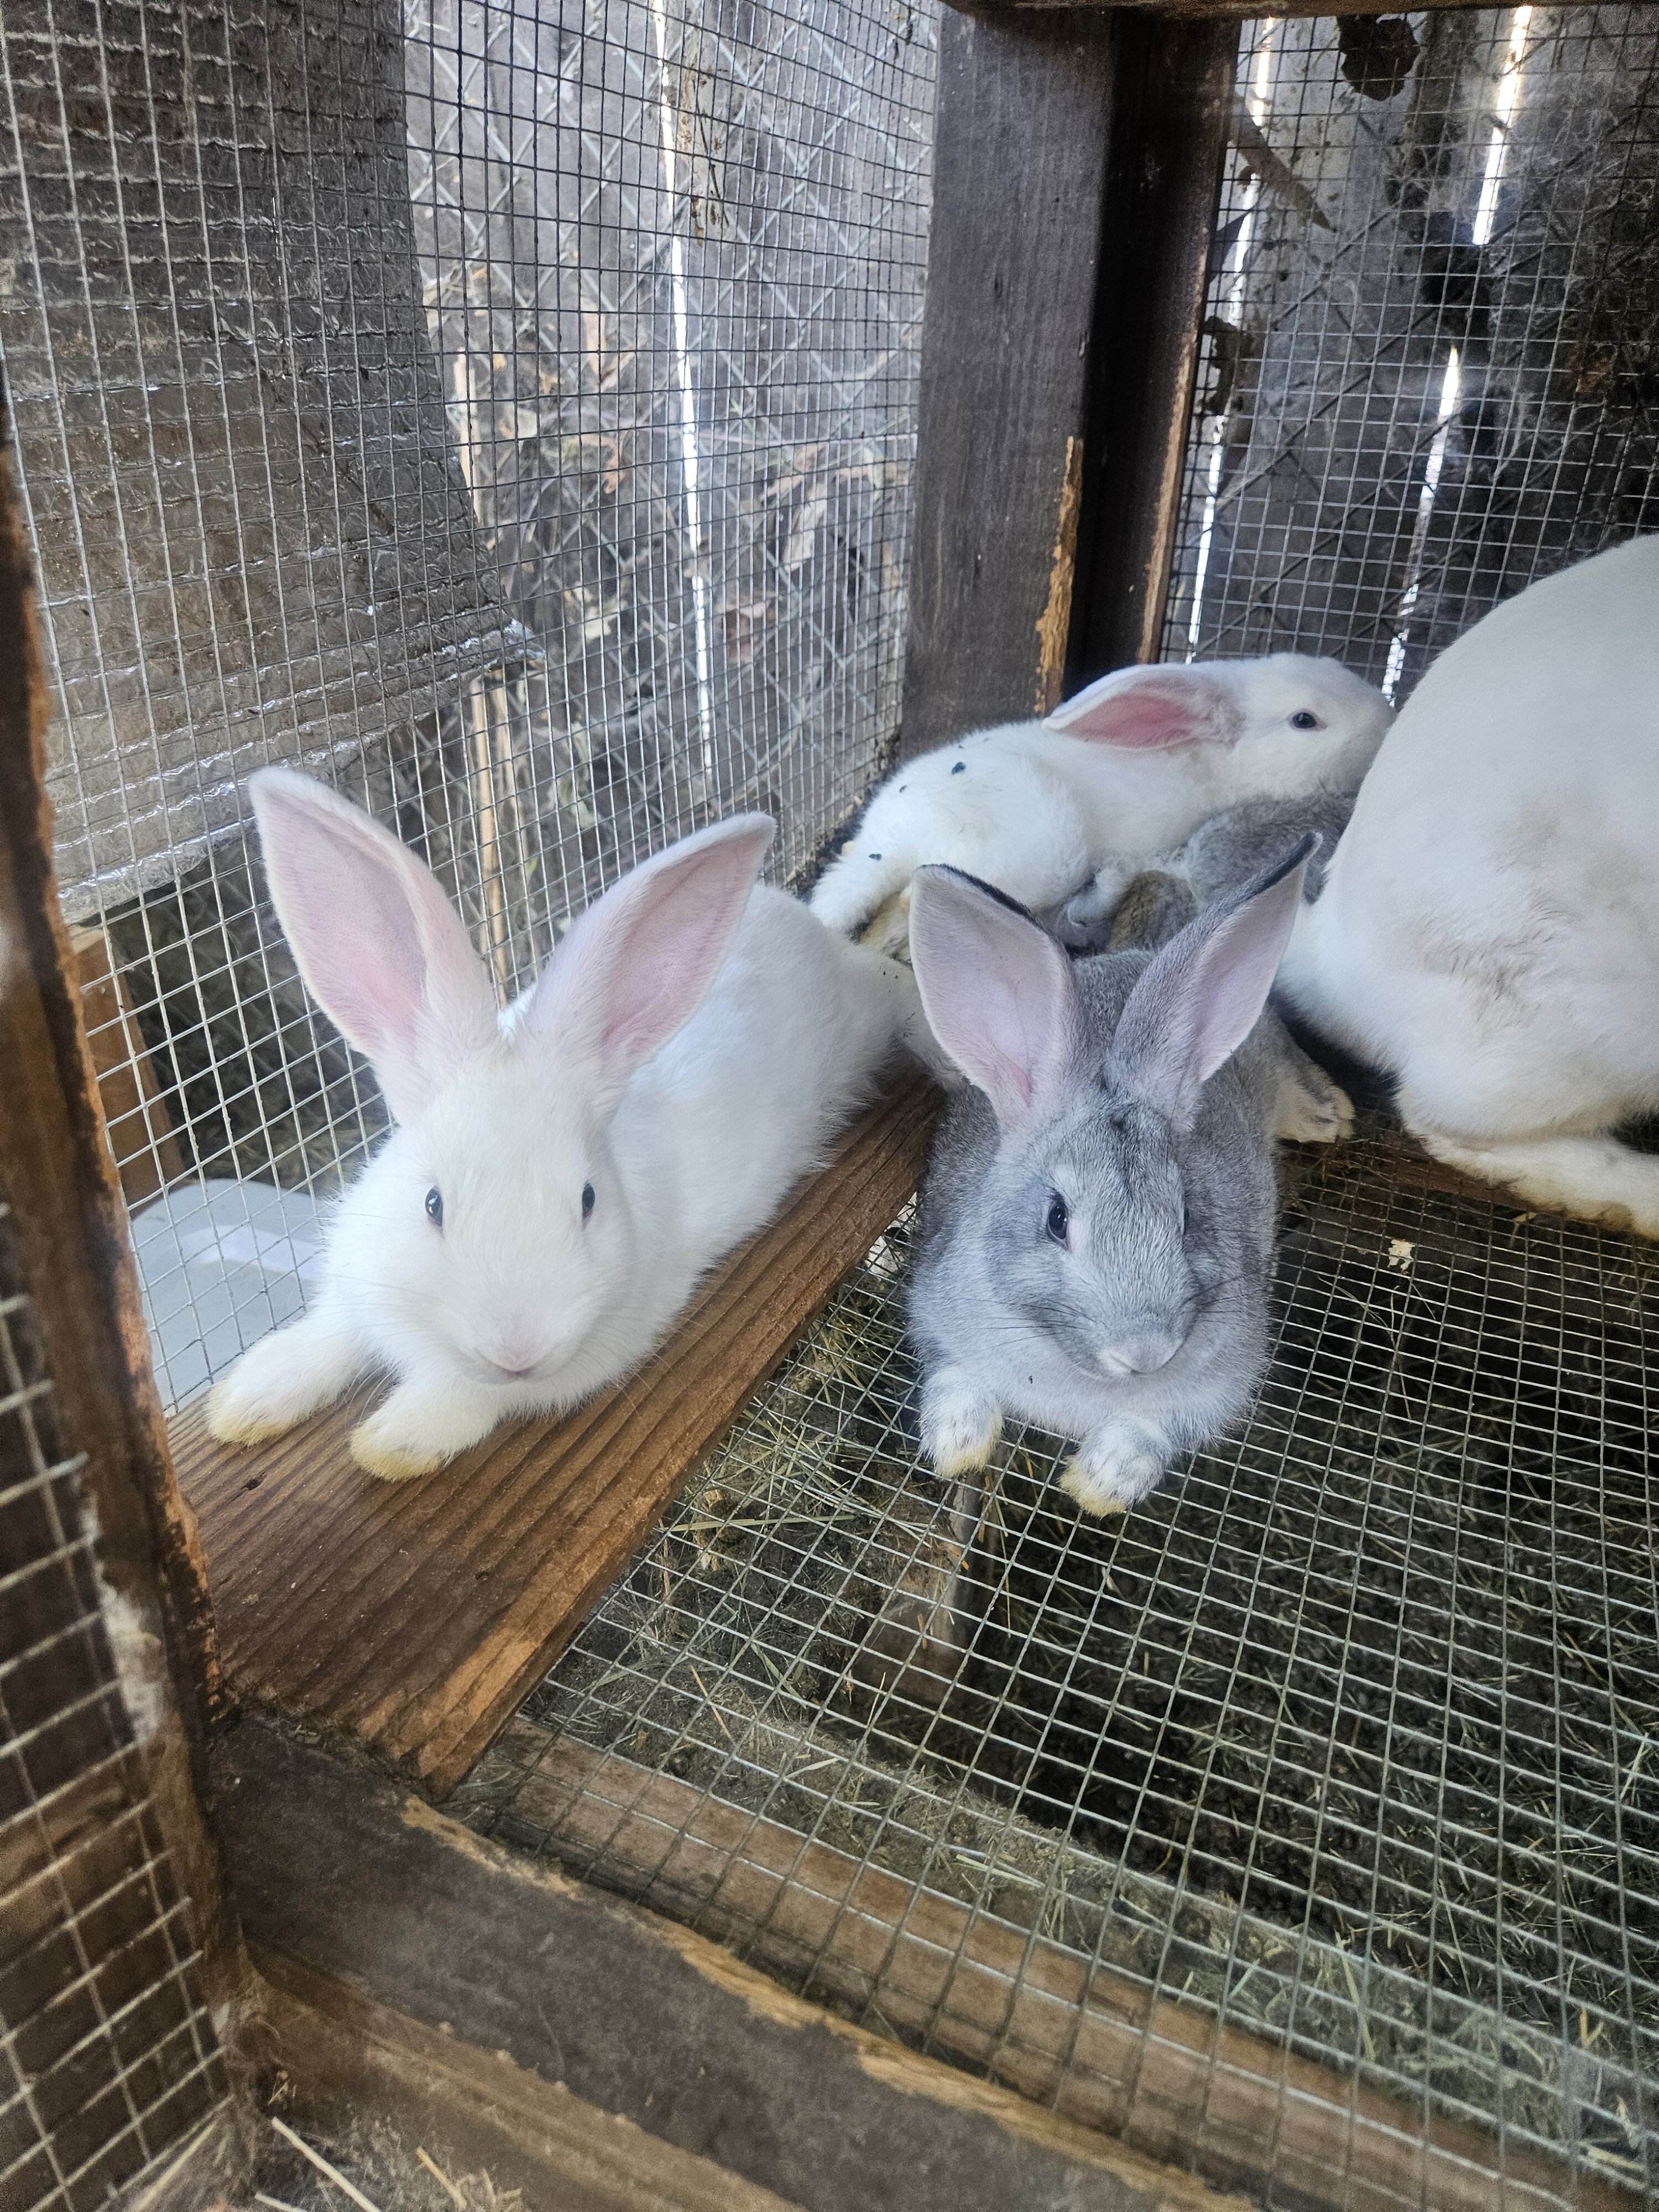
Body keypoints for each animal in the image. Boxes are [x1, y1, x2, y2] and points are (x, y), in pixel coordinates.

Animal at [205, 770, 925, 1477]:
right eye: (433, 1204)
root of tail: (798, 919)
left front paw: (392, 1444)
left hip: (869, 1013)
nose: (516, 1349)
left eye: (587, 1200)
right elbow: (329, 1335)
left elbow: (464, 1394)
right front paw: (246, 1401)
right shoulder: (357, 1280)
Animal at [808, 655, 1391, 956]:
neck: (1214, 763)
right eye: (1305, 720)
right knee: (914, 898)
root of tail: (891, 844)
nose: (1385, 721)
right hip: (1044, 856)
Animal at [905, 839, 1319, 1519]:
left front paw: (1097, 1485)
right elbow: (957, 1381)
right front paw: (956, 1449)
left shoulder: (1215, 1388)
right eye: (1057, 1220)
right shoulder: (938, 1320)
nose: (1145, 1353)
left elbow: (1150, 1430)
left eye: (1186, 1216)